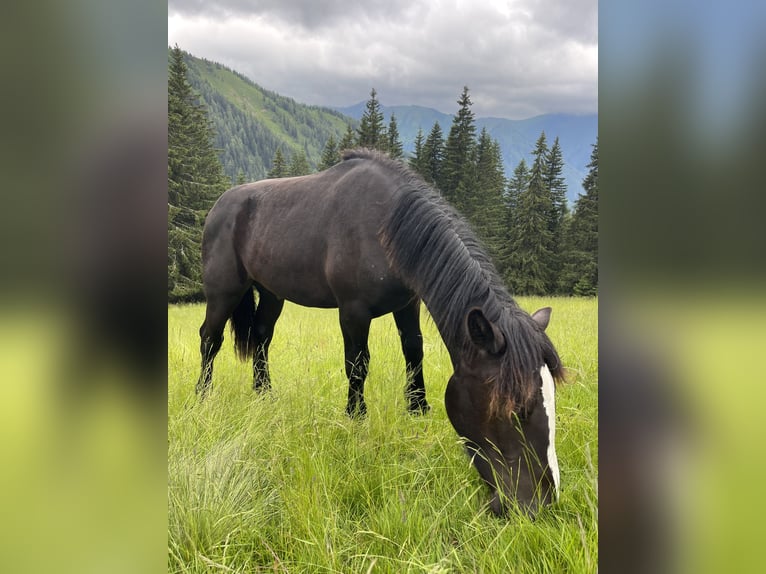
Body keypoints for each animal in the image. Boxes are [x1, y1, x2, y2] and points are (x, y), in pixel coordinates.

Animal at [198, 148, 568, 516]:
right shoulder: (353, 311)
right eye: (517, 410)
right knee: (210, 339)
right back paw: (203, 397)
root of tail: (220, 205)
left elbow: (414, 350)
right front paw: (356, 417)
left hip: (273, 292)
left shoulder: (408, 304)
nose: (540, 503)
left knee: (262, 336)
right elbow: (357, 364)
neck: (385, 223)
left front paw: (417, 409)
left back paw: (264, 394)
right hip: (224, 291)